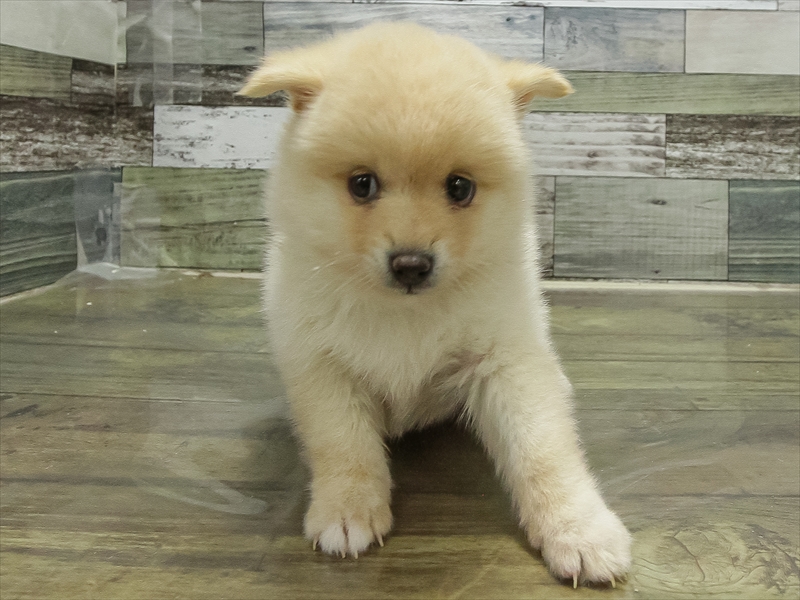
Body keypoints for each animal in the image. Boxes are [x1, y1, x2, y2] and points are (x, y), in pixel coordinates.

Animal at [239, 22, 631, 586]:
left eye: (460, 188)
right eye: (362, 184)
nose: (411, 263)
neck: (404, 313)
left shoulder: (506, 362)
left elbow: (543, 450)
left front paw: (578, 530)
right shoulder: (323, 369)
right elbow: (344, 445)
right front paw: (347, 509)